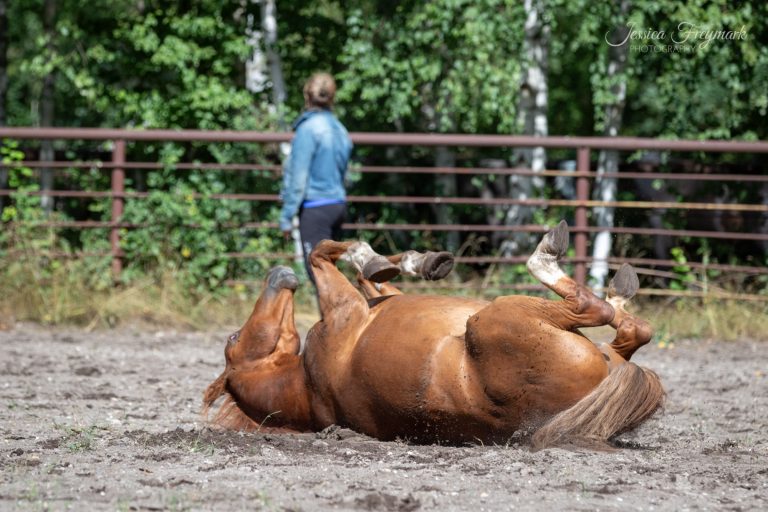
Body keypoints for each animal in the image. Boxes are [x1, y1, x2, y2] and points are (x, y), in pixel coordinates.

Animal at [203, 221, 665, 449]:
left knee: (631, 330)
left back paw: (621, 288)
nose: (278, 275)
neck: (306, 382)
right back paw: (552, 254)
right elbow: (322, 251)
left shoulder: (371, 301)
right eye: (233, 338)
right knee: (597, 310)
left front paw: (418, 261)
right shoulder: (344, 308)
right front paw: (374, 257)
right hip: (495, 316)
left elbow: (371, 277)